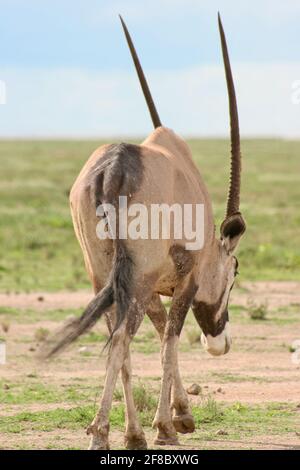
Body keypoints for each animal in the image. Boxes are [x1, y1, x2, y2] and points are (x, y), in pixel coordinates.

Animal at [42, 13, 246, 448]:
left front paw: (176, 416)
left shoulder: (151, 287)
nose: (219, 343)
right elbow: (169, 340)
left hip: (104, 277)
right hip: (132, 278)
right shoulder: (184, 282)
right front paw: (169, 425)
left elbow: (157, 331)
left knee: (118, 340)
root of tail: (115, 169)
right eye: (235, 270)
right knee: (122, 337)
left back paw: (129, 434)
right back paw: (103, 432)